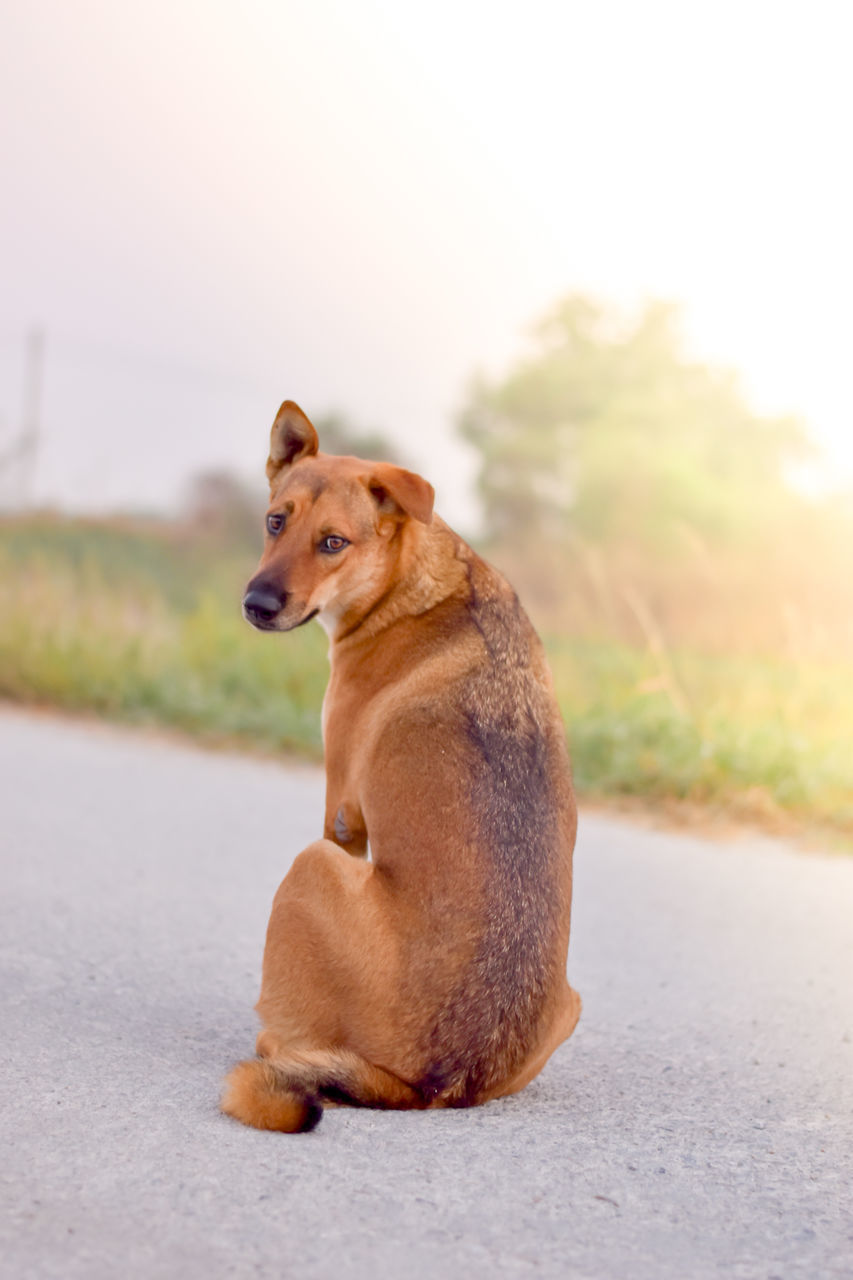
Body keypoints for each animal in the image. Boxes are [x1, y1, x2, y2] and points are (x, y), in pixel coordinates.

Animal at [219, 399, 581, 1131]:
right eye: (275, 522)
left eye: (333, 542)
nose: (257, 606)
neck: (408, 585)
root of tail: (429, 1086)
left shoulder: (340, 818)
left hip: (310, 867)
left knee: (283, 1042)